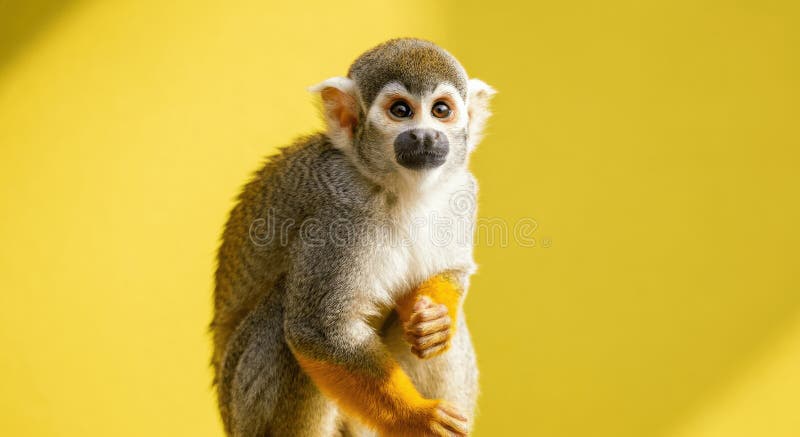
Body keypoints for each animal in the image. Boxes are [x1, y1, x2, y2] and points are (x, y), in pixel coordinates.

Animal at [211, 38, 495, 437]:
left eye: (441, 110)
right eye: (401, 110)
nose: (426, 135)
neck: (398, 188)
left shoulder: (462, 190)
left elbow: (451, 272)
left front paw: (434, 321)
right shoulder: (338, 217)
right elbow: (320, 331)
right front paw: (417, 417)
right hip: (243, 408)